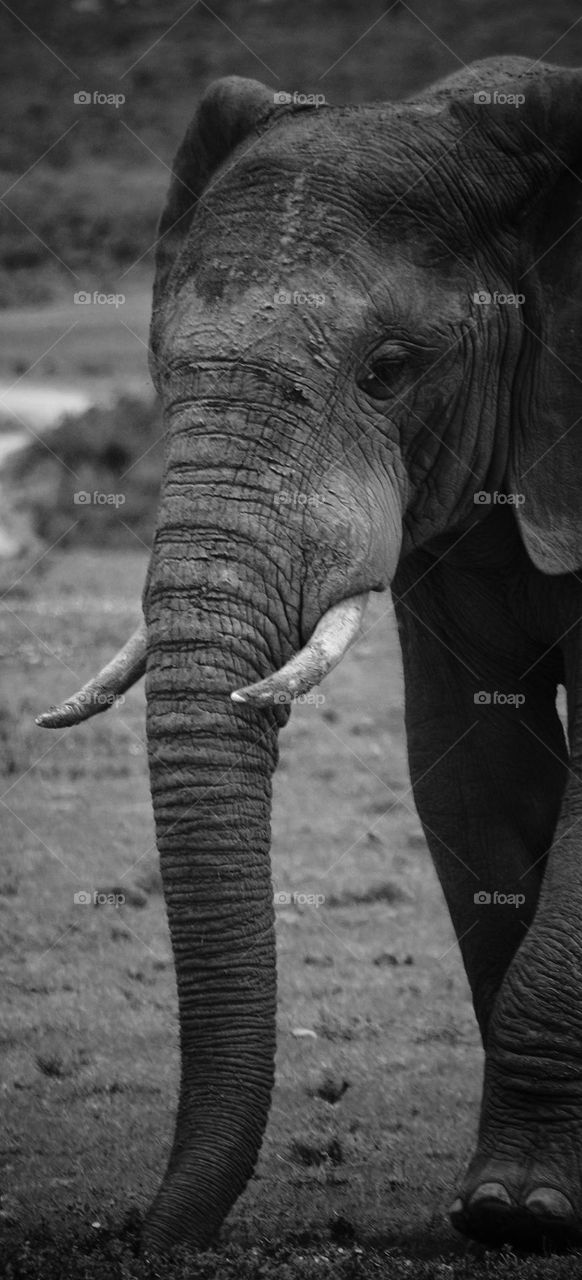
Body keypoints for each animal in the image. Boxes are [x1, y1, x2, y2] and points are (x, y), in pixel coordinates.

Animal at [37, 57, 582, 1249]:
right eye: (162, 366)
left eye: (389, 369)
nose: (147, 1237)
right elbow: (469, 765)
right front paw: (509, 1202)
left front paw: (523, 1212)